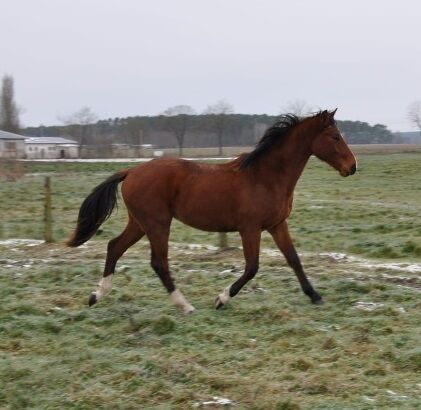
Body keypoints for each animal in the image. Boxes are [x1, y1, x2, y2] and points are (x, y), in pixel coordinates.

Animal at [67, 109, 356, 314]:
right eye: (334, 137)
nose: (352, 167)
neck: (266, 176)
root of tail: (131, 171)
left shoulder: (277, 225)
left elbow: (294, 259)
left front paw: (315, 296)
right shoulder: (250, 228)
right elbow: (252, 267)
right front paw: (221, 299)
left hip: (139, 223)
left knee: (114, 247)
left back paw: (96, 296)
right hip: (157, 224)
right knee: (158, 262)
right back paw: (185, 306)